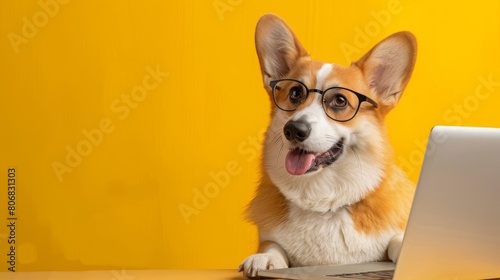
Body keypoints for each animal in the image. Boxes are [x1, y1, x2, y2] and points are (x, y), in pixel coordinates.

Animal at [239, 13, 418, 278]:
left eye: (340, 101)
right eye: (295, 93)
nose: (294, 129)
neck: (323, 202)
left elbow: (398, 239)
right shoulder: (270, 239)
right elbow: (272, 246)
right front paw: (264, 258)